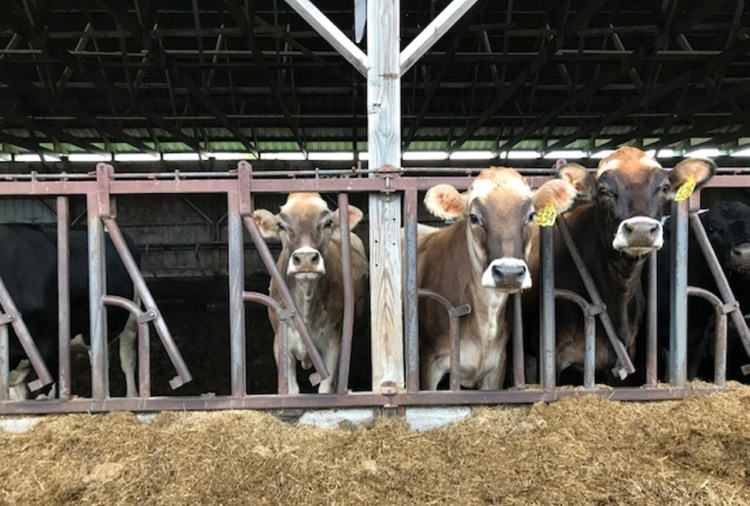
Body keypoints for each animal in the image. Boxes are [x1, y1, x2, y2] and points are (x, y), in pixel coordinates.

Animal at [254, 194, 368, 396]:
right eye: (281, 225)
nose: (306, 259)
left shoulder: (333, 343)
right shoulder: (281, 343)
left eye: (328, 222)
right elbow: (291, 390)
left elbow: (326, 387)